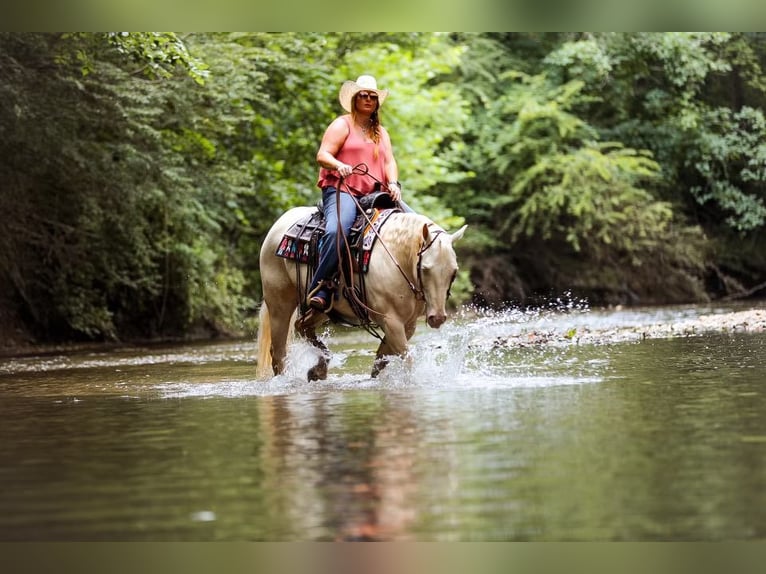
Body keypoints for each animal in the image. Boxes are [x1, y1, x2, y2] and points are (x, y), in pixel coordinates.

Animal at [256, 204, 467, 381]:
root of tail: (279, 224)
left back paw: (319, 369)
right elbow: (407, 360)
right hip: (279, 305)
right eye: (425, 269)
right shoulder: (391, 321)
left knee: (302, 326)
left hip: (323, 309)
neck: (395, 257)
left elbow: (381, 359)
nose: (437, 318)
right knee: (278, 351)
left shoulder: (408, 324)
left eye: (454, 272)